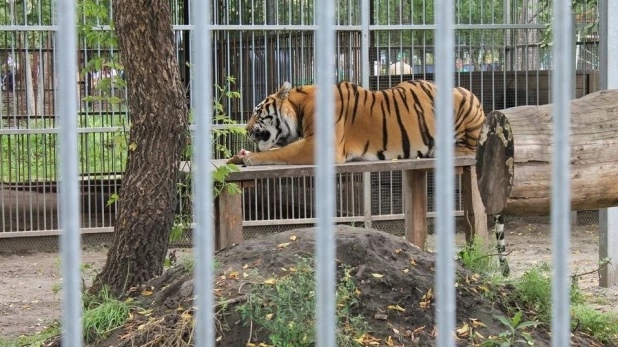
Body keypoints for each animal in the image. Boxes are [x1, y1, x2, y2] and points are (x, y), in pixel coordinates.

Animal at [229, 79, 484, 167]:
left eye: (257, 112)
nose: (246, 129)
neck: (301, 107)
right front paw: (237, 157)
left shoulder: (319, 145)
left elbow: (279, 152)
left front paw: (250, 158)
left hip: (465, 97)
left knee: (470, 148)